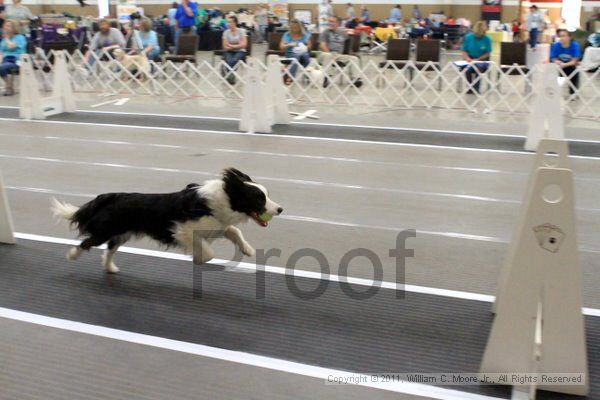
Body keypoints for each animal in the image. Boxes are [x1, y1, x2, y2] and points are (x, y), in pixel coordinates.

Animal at [51, 167, 284, 274]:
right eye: (259, 199)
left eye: (267, 195)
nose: (280, 209)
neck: (223, 199)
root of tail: (111, 196)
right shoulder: (183, 230)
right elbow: (208, 250)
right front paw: (198, 259)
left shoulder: (218, 224)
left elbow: (234, 231)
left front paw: (247, 249)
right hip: (106, 230)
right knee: (87, 242)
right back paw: (72, 255)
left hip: (120, 234)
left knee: (109, 249)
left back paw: (110, 268)